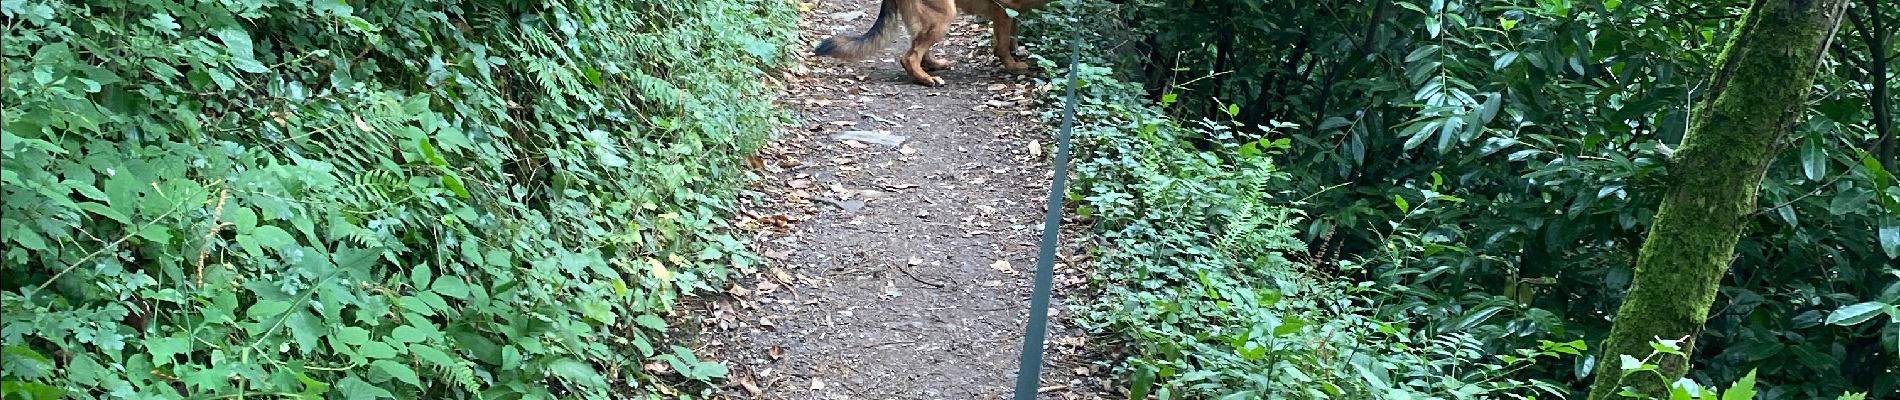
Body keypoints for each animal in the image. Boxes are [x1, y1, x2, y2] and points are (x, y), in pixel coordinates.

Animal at [817, 0, 1056, 86]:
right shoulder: (1004, 10)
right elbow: (1004, 43)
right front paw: (1012, 65)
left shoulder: (1012, 14)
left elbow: (1012, 37)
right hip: (944, 16)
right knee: (910, 56)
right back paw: (925, 79)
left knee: (918, 48)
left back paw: (932, 66)